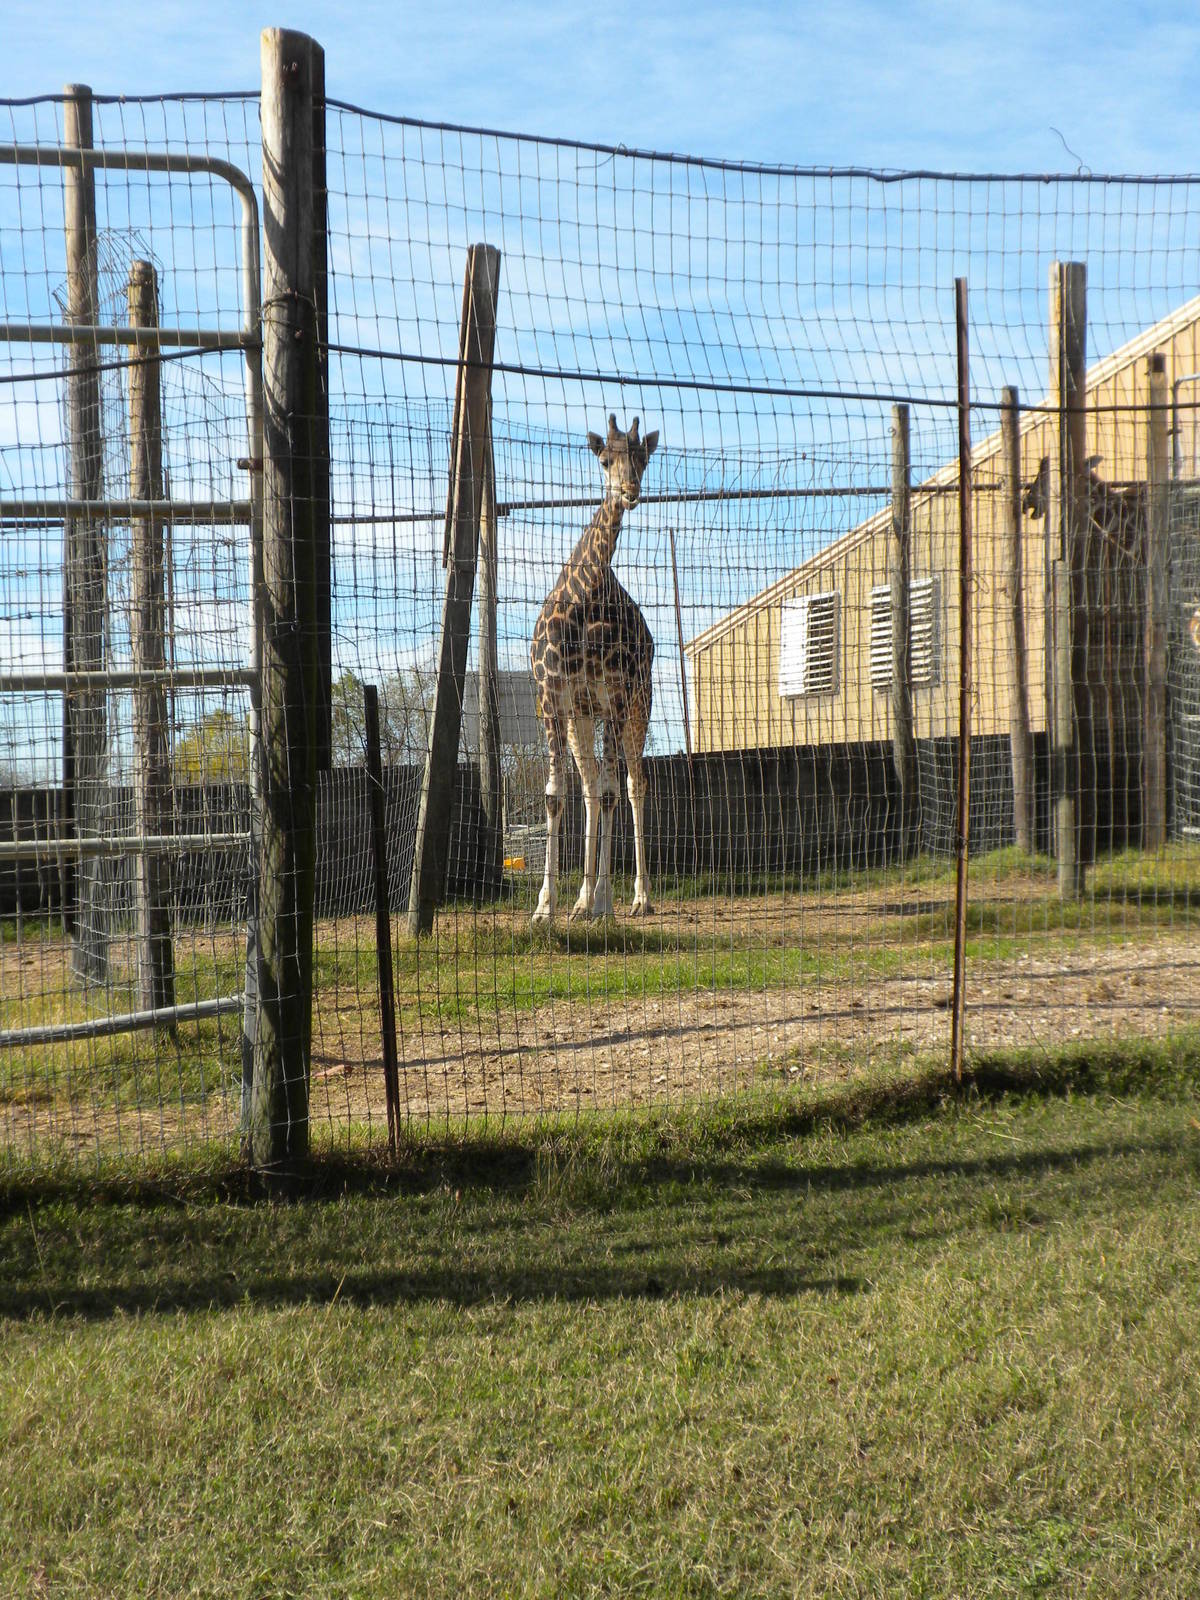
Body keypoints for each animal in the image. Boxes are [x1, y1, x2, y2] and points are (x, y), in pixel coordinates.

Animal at [530, 413, 659, 924]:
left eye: (642, 457)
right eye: (605, 459)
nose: (630, 490)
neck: (584, 594)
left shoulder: (615, 696)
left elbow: (611, 793)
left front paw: (606, 900)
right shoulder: (553, 696)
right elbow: (555, 795)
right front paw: (546, 907)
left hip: (636, 706)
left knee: (633, 785)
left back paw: (637, 898)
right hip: (581, 717)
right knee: (586, 787)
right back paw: (582, 899)